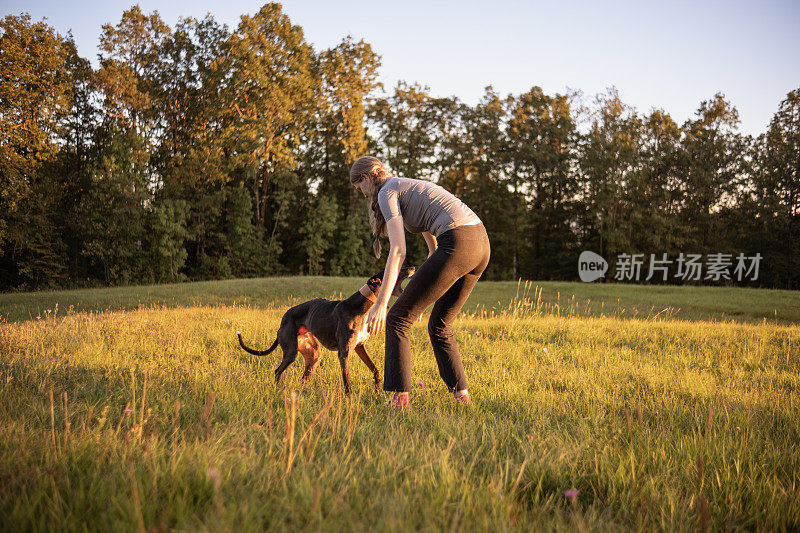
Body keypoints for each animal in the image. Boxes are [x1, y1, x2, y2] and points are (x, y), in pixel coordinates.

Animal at [236, 266, 412, 394]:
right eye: (398, 269)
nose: (412, 266)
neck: (363, 306)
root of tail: (283, 319)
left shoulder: (360, 346)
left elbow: (375, 369)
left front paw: (376, 390)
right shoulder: (344, 352)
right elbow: (346, 378)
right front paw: (350, 398)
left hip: (313, 355)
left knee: (303, 378)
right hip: (291, 351)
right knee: (277, 371)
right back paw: (278, 389)